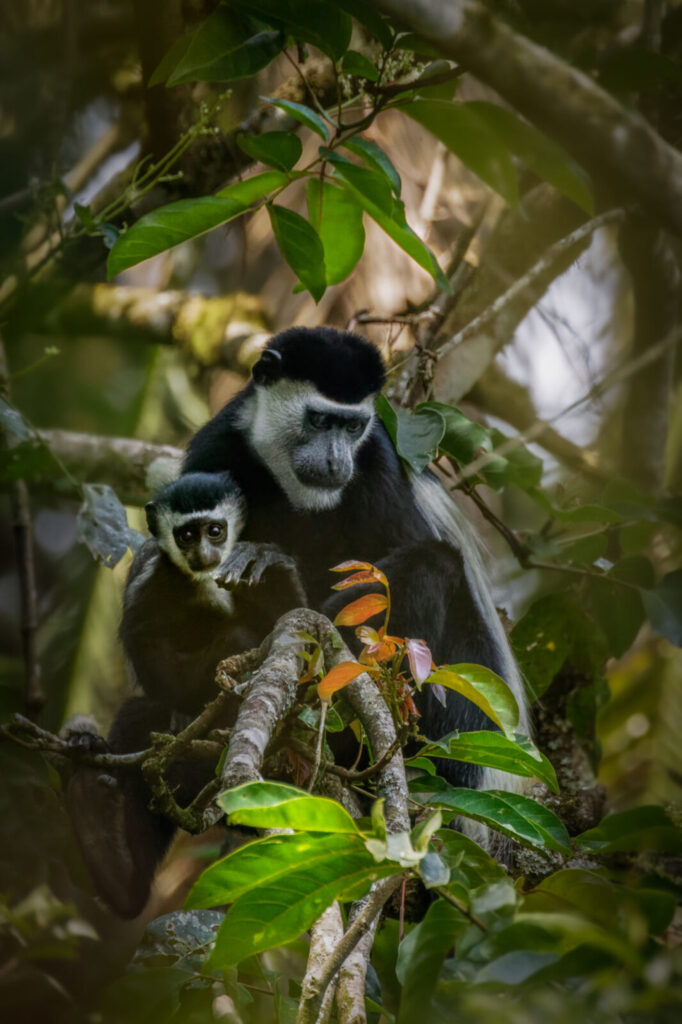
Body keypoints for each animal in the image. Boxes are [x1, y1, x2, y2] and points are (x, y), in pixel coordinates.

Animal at [66, 471, 305, 918]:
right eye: (187, 534)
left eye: (215, 530)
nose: (204, 553)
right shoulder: (153, 576)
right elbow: (143, 640)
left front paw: (265, 560)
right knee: (143, 714)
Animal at [184, 327, 530, 793]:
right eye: (318, 420)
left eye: (352, 426)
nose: (335, 461)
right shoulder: (214, 451)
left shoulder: (378, 464)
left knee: (435, 564)